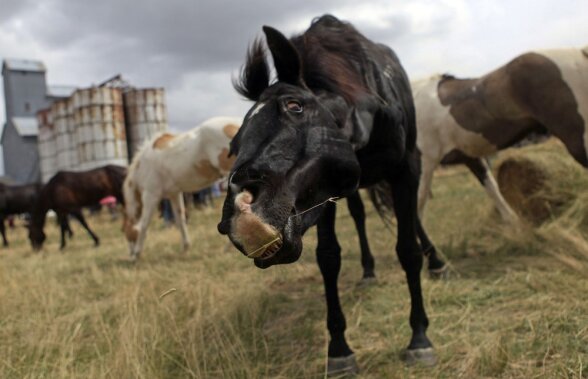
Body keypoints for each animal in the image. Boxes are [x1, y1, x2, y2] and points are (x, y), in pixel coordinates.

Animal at [121, 116, 241, 262]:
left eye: (126, 233)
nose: (130, 254)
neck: (142, 165)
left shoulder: (151, 195)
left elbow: (144, 224)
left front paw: (137, 255)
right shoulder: (174, 194)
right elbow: (180, 220)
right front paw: (185, 248)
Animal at [218, 15, 444, 378]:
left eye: (295, 106)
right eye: (233, 145)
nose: (241, 213)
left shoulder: (405, 169)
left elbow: (407, 250)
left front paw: (419, 337)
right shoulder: (323, 195)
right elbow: (328, 258)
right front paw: (339, 349)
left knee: (408, 219)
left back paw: (436, 262)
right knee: (360, 215)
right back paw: (368, 272)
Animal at [414, 46, 588, 223]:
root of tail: (581, 52)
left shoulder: (425, 163)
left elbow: (418, 207)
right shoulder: (471, 159)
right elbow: (493, 190)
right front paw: (514, 225)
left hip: (577, 139)